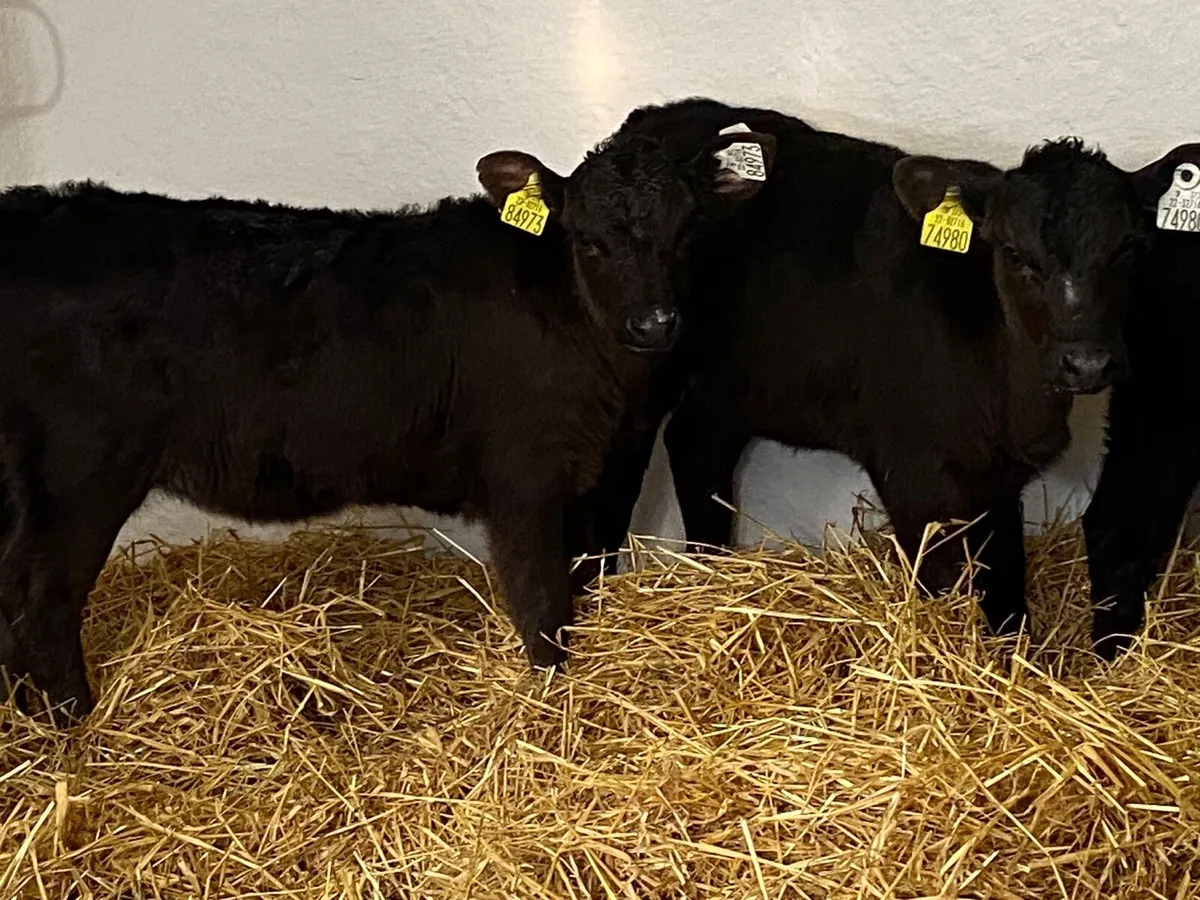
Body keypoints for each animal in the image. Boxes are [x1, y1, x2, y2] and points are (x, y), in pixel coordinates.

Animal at [0, 126, 777, 722]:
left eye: (686, 233)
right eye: (589, 241)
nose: (655, 324)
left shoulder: (587, 475)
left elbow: (581, 583)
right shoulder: (523, 478)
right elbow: (542, 604)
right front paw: (553, 705)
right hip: (84, 473)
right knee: (44, 605)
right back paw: (79, 729)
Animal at [567, 97, 1178, 646]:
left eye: (1129, 249)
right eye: (1015, 254)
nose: (1087, 361)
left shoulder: (1001, 480)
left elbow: (1006, 588)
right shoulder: (912, 473)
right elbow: (939, 587)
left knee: (697, 444)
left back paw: (712, 567)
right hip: (643, 355)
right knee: (626, 460)